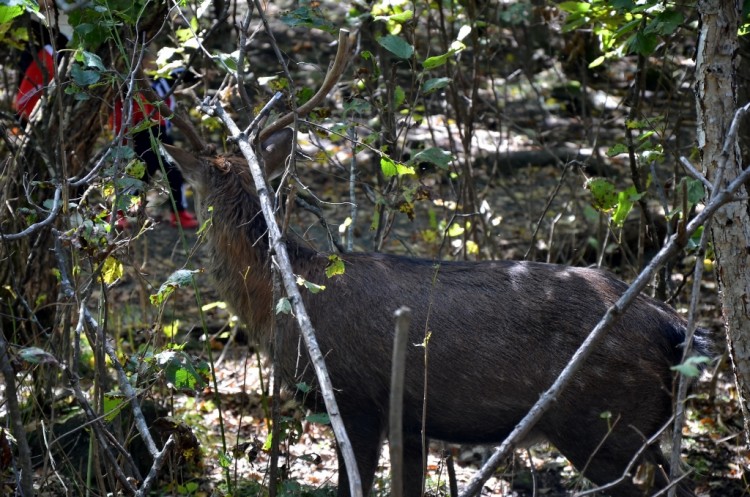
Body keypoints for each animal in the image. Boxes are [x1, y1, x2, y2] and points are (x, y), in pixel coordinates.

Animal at [167, 129, 712, 497]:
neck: (283, 300)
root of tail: (674, 329)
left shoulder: (355, 399)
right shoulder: (410, 419)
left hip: (601, 424)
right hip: (641, 426)